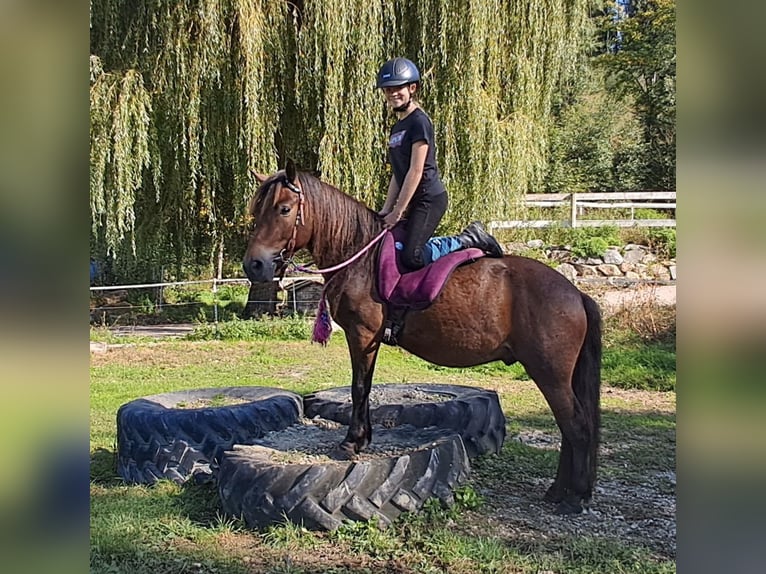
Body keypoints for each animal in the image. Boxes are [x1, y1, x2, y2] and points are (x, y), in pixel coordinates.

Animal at [243, 160, 604, 516]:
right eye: (256, 209)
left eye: (284, 209)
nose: (254, 265)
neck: (360, 258)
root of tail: (575, 294)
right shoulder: (369, 339)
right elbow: (365, 388)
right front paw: (362, 438)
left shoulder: (362, 335)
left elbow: (359, 387)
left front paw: (351, 441)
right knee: (570, 428)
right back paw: (560, 491)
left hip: (550, 373)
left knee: (576, 426)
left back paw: (574, 496)